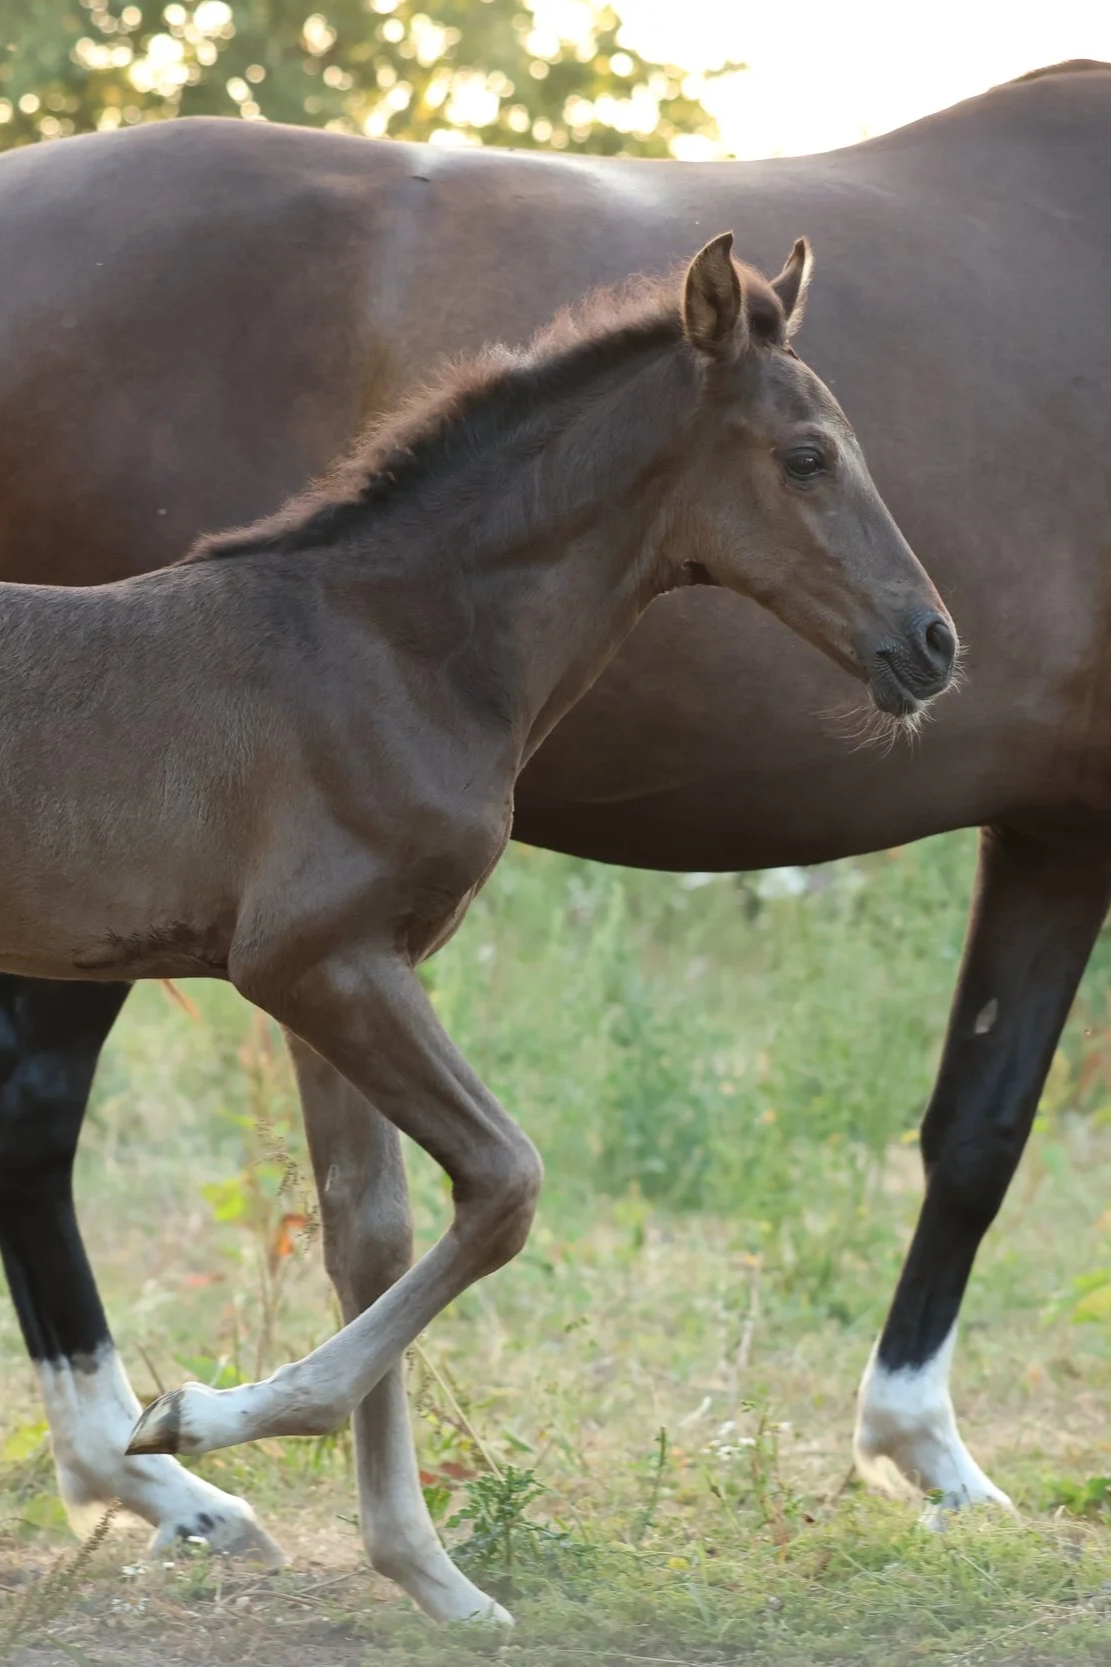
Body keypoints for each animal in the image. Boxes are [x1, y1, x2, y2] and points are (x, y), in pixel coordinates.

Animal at [0, 55, 1106, 1601]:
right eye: (806, 454)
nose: (932, 640)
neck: (383, 634)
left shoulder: (339, 969)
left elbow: (379, 1227)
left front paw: (419, 1563)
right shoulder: (314, 960)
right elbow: (509, 1184)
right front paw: (209, 1421)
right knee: (35, 1113)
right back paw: (155, 1479)